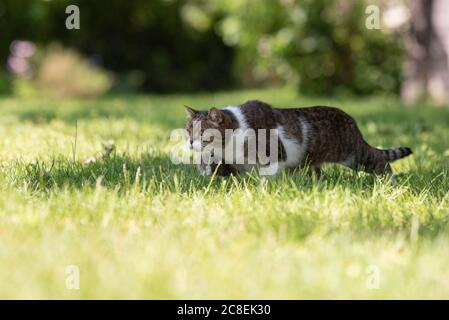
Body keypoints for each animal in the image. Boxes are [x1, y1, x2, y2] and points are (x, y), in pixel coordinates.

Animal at [184, 100, 412, 178]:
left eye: (202, 132)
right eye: (188, 130)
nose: (190, 142)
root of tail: (351, 121)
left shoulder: (275, 153)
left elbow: (267, 172)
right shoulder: (231, 165)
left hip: (354, 155)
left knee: (379, 159)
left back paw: (390, 182)